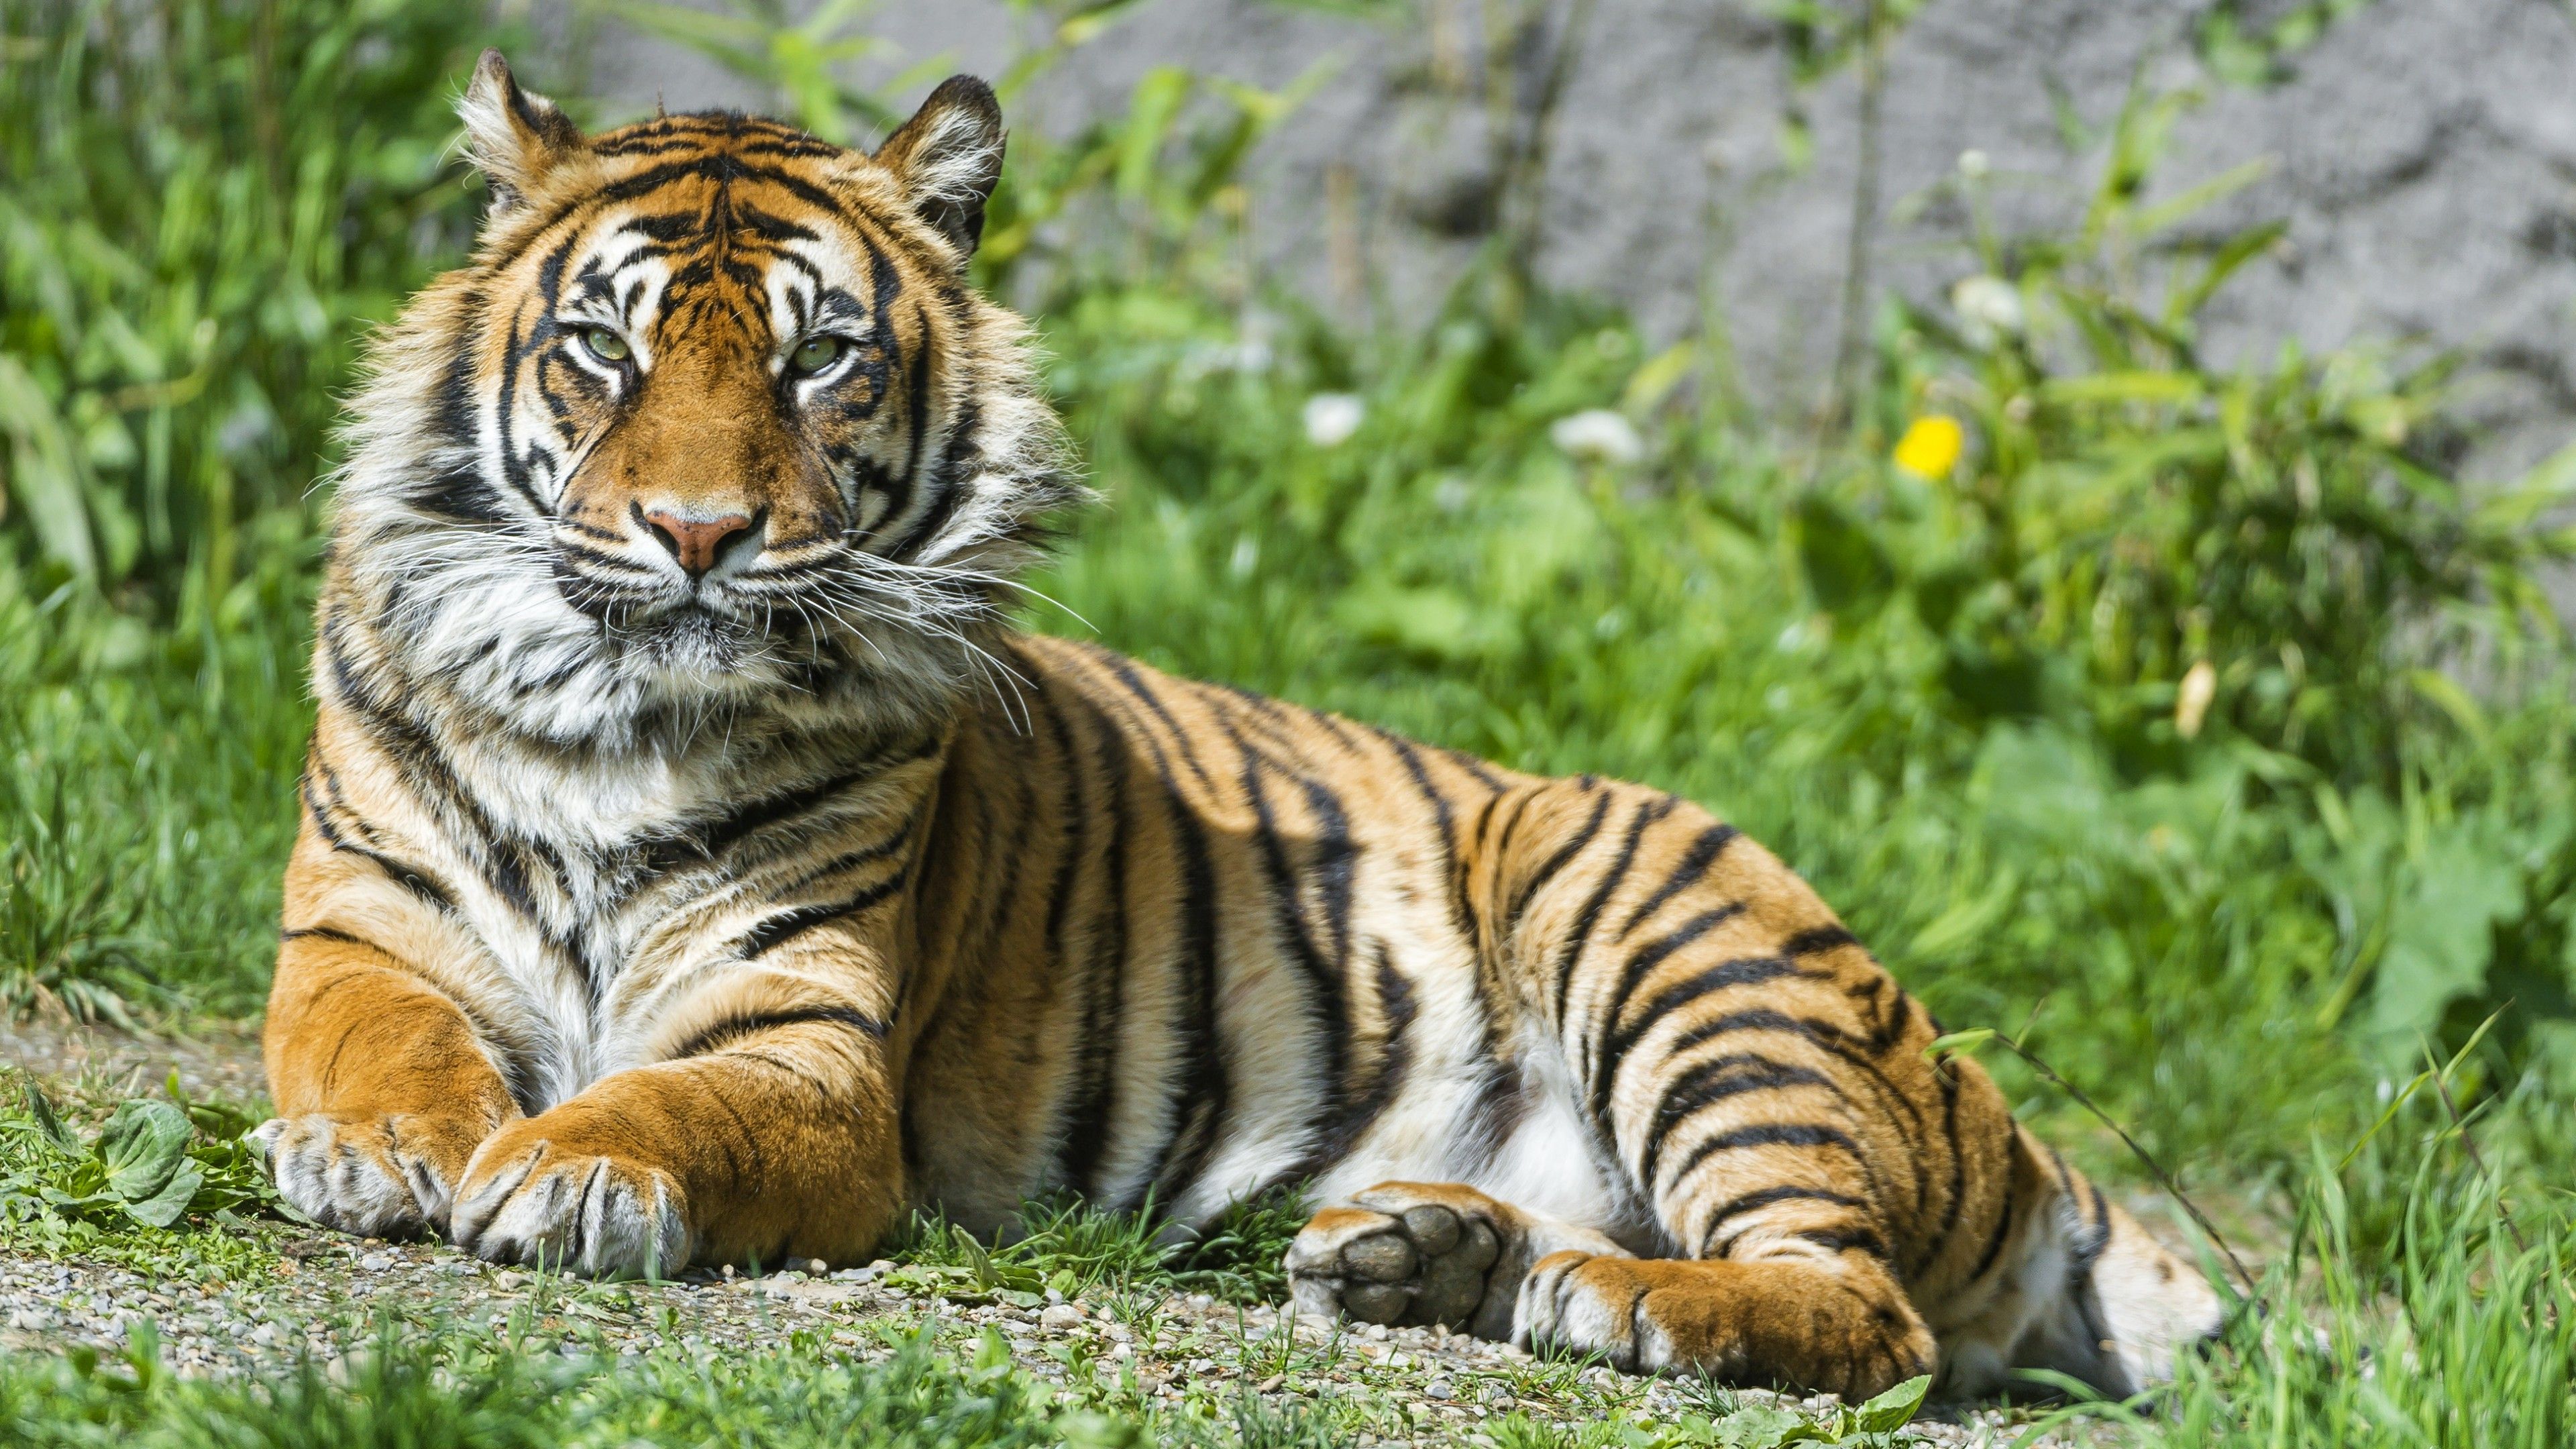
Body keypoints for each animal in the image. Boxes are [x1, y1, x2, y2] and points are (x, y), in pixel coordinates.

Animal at [254, 51, 2226, 1401]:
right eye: (606, 346)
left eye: (821, 359)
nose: (695, 533)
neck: (620, 717)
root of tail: (1991, 1106)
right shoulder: (358, 935)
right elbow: (375, 1040)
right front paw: (376, 1152)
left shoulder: (801, 1042)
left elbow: (674, 1104)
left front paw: (566, 1167)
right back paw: (1418, 1256)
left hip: (1666, 925)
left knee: (1868, 1311)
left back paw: (1624, 1305)